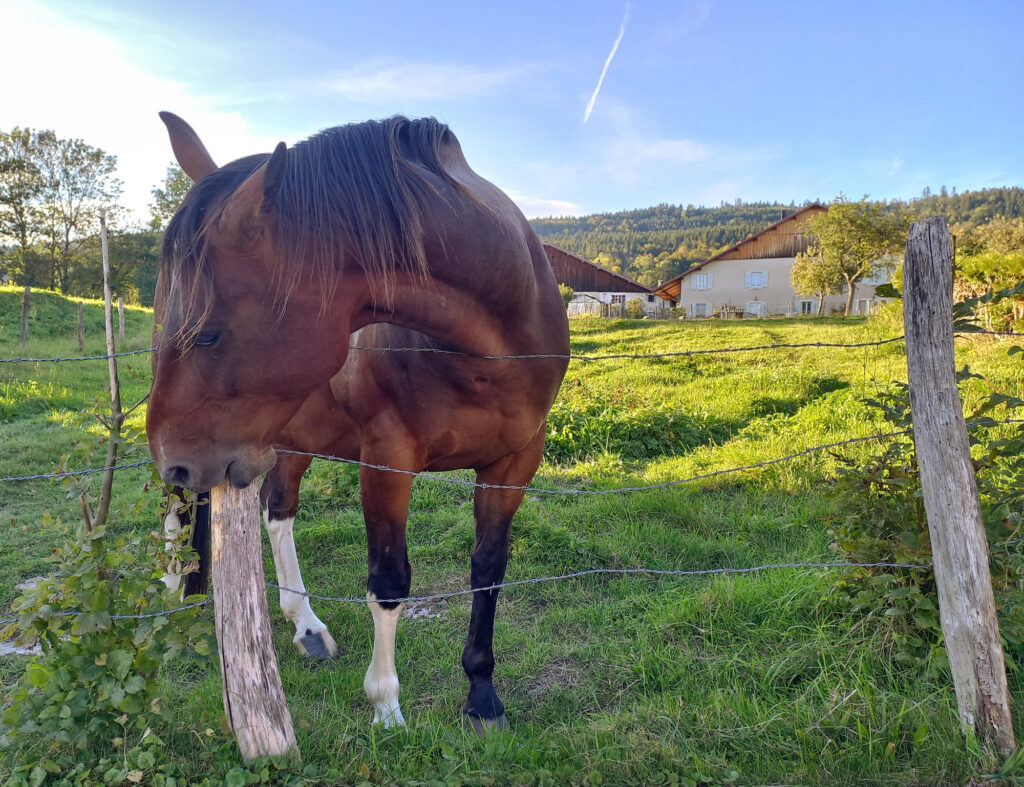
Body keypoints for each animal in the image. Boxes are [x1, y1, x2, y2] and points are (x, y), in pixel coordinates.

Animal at [147, 112, 570, 733]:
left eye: (209, 333)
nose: (174, 460)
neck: (489, 344)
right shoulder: (387, 460)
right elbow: (389, 581)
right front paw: (386, 706)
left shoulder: (515, 461)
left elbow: (488, 568)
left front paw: (482, 693)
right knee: (181, 510)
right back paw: (175, 584)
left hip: (283, 439)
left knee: (278, 512)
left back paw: (305, 624)